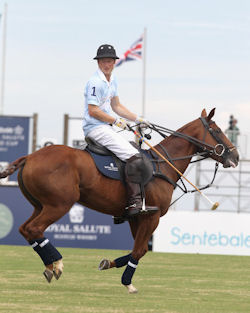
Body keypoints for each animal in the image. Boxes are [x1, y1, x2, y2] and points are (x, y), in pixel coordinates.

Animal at [0, 108, 239, 292]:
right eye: (218, 131)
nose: (235, 157)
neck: (163, 165)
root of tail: (29, 157)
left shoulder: (135, 217)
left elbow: (137, 249)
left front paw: (107, 263)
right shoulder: (152, 216)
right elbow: (140, 250)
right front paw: (127, 283)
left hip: (40, 204)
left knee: (25, 229)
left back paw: (50, 266)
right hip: (59, 204)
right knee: (34, 228)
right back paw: (57, 264)